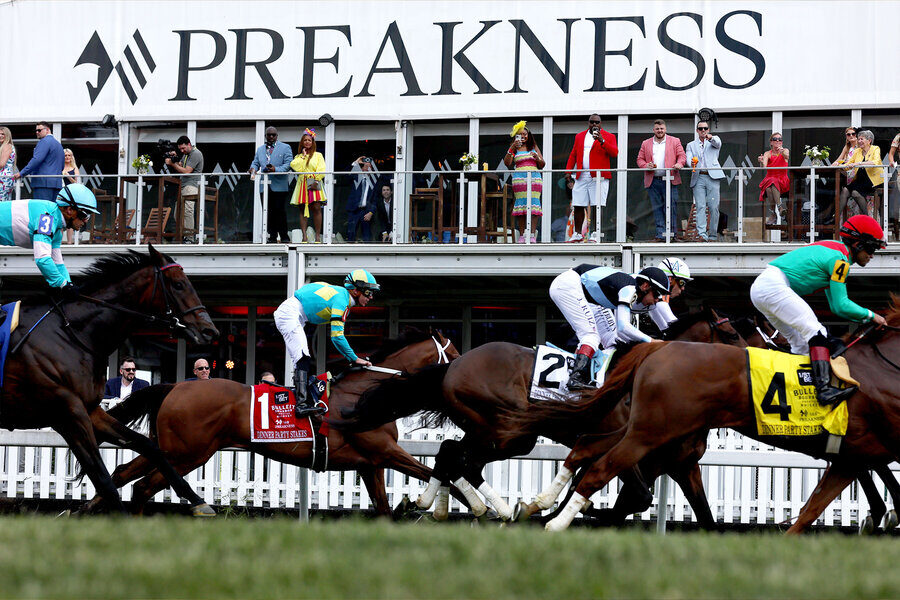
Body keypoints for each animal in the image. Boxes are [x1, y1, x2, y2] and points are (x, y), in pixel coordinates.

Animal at [1, 246, 220, 512]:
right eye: (178, 285)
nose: (210, 331)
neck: (71, 334)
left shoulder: (90, 410)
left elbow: (148, 446)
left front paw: (196, 499)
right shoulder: (68, 414)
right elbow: (103, 480)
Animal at [85, 328, 460, 516]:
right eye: (456, 353)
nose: (462, 374)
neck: (365, 393)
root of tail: (175, 386)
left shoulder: (371, 463)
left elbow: (383, 507)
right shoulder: (385, 451)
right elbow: (444, 477)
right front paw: (429, 504)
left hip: (170, 449)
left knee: (124, 473)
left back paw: (89, 509)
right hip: (189, 453)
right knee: (143, 486)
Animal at [336, 308, 744, 524]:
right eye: (733, 333)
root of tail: (454, 365)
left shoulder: (670, 461)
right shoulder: (628, 445)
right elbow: (636, 495)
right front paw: (558, 511)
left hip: (489, 429)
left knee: (451, 453)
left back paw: (436, 505)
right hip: (510, 431)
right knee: (463, 460)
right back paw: (500, 509)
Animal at [502, 302, 900, 532]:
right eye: (732, 332)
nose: (765, 356)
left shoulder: (680, 462)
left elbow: (700, 515)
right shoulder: (659, 458)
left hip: (641, 431)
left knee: (585, 448)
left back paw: (536, 506)